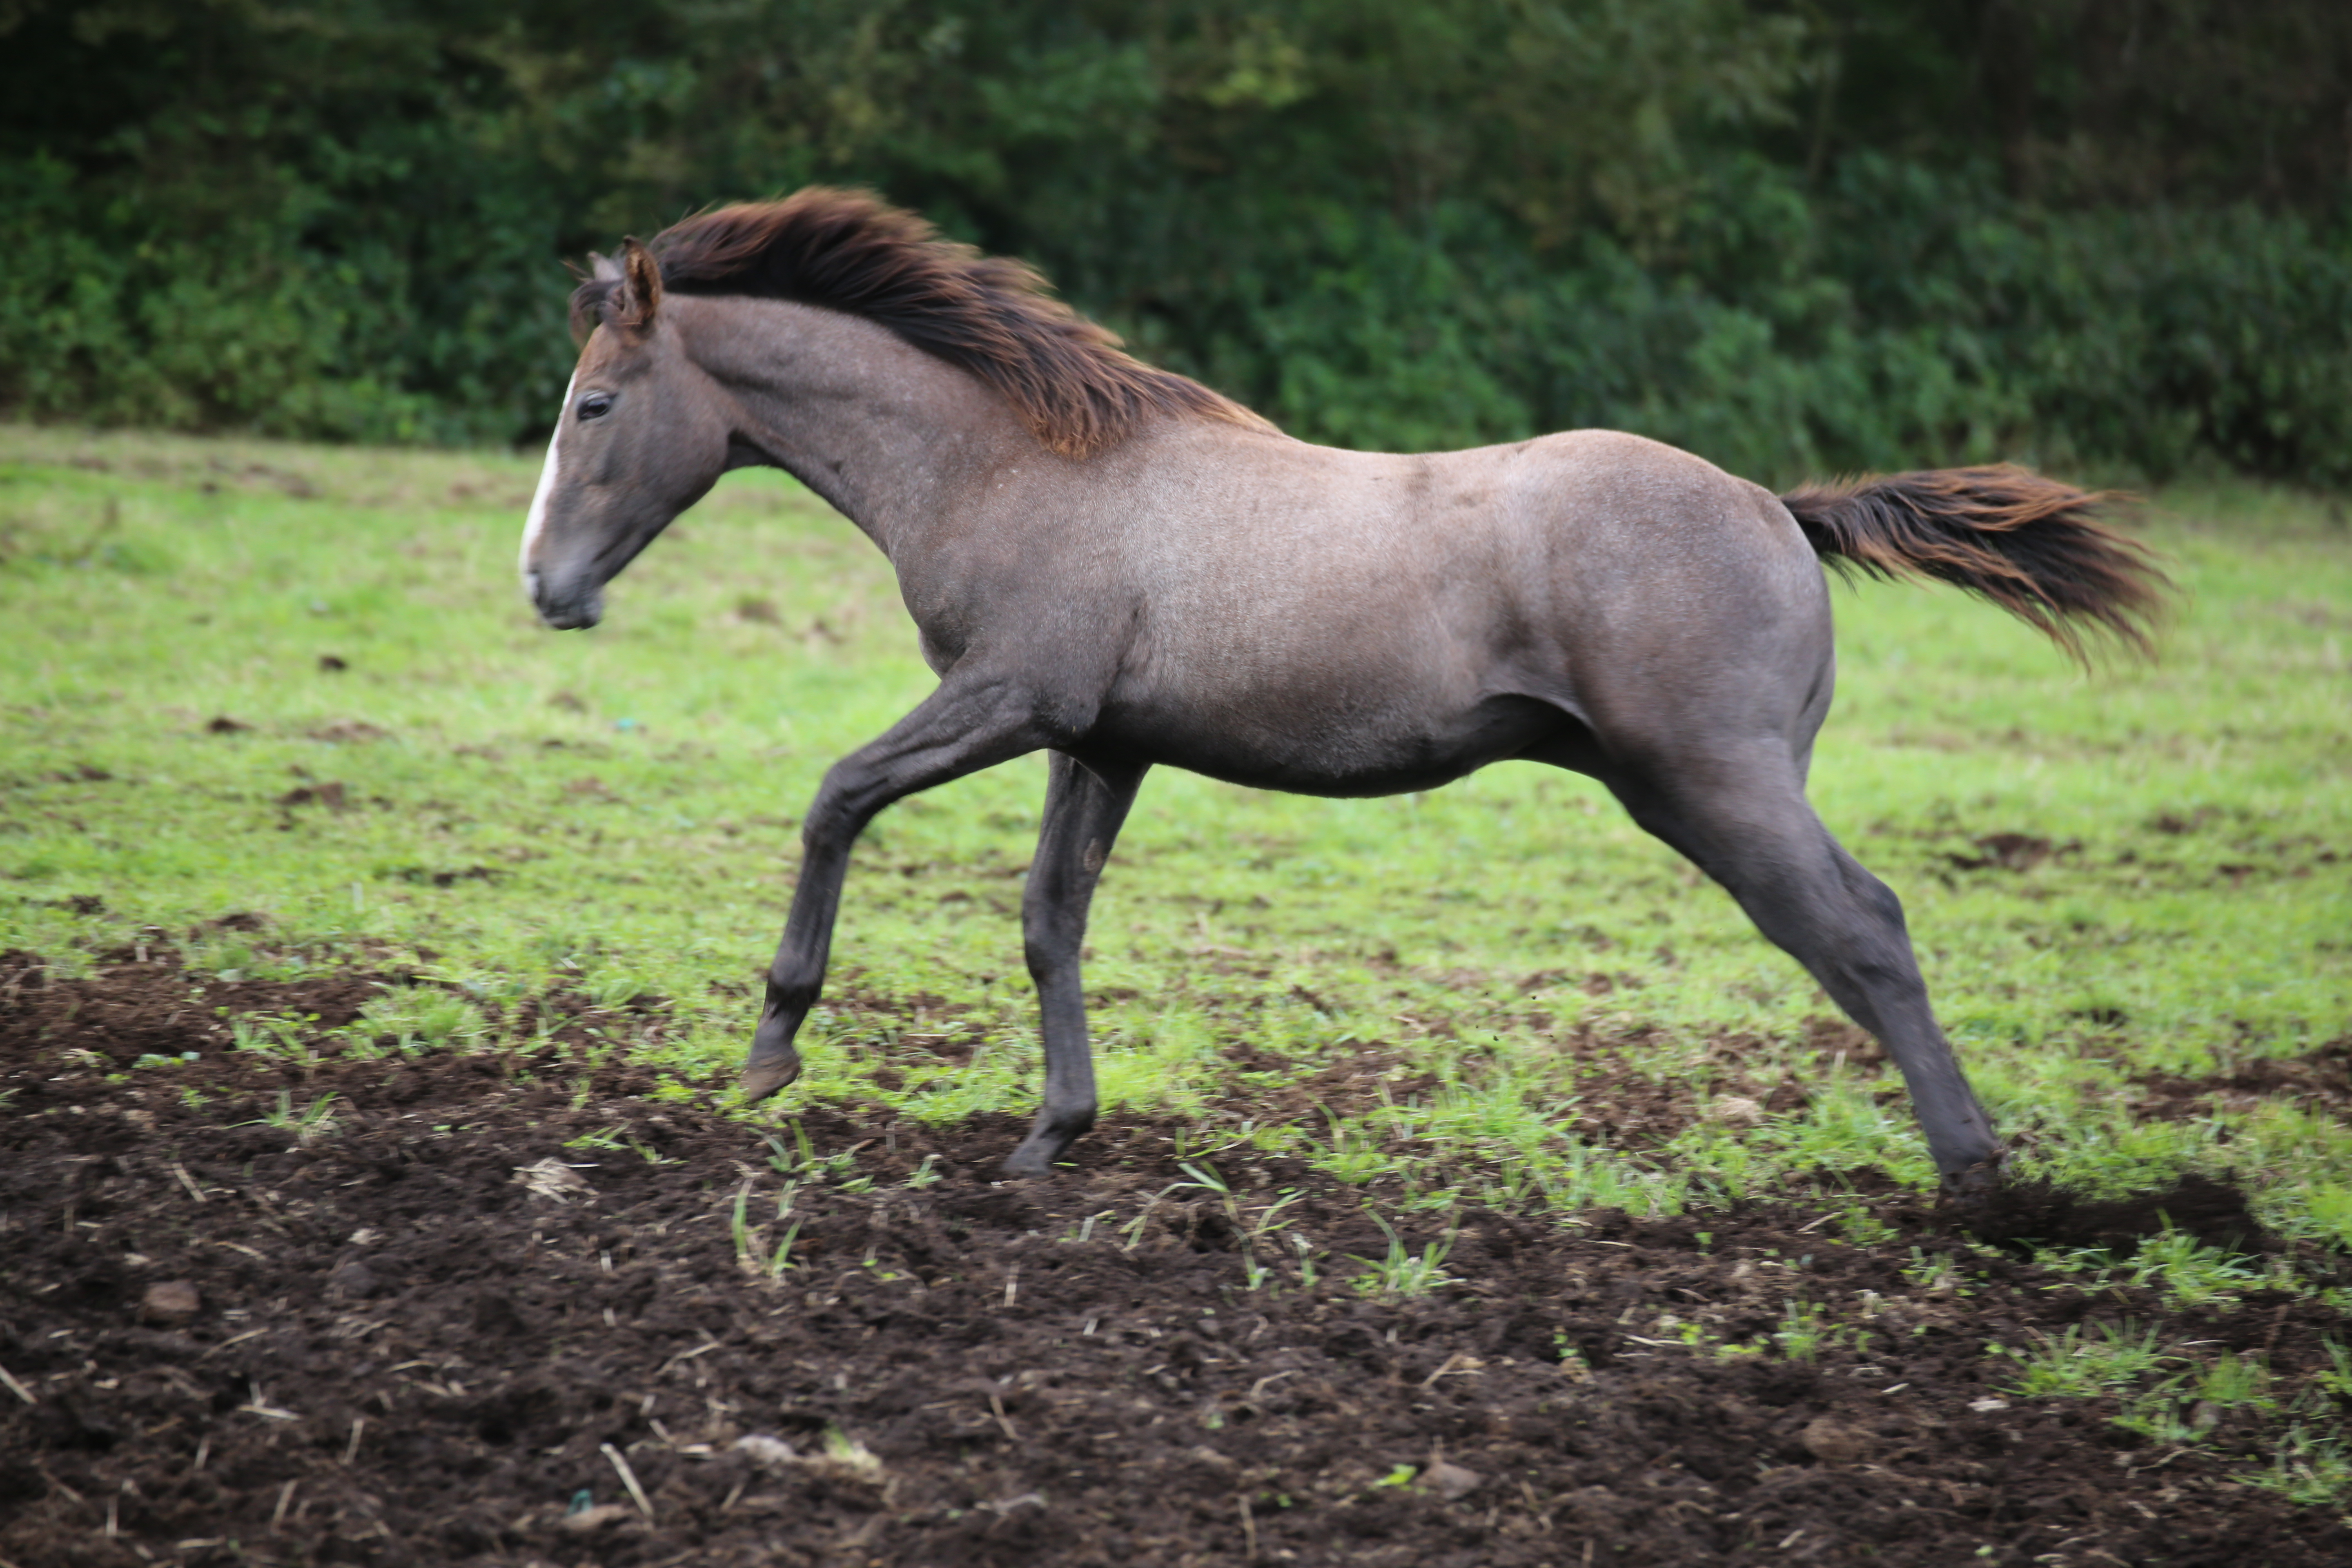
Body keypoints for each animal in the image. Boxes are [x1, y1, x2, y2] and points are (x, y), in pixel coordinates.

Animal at [524, 190, 2173, 1194]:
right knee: (1857, 927)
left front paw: (771, 1050)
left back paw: (1975, 1175)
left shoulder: (1010, 697)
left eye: (595, 404)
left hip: (1712, 786)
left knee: (1860, 931)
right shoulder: (1100, 742)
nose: (544, 590)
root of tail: (1780, 507)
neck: (1014, 464)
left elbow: (836, 798)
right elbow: (1050, 916)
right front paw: (1052, 1133)